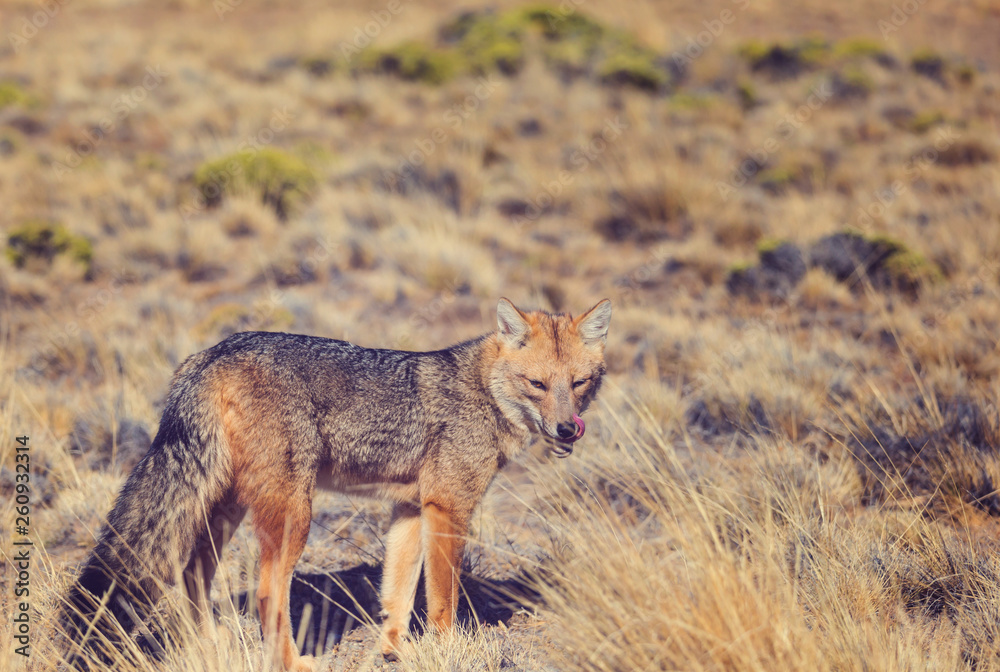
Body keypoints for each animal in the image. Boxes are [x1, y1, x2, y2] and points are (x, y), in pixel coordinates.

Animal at [59, 297, 611, 670]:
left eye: (579, 383)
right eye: (537, 385)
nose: (568, 429)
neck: (483, 390)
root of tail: (214, 353)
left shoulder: (410, 510)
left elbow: (397, 594)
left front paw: (392, 651)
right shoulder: (448, 507)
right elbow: (443, 600)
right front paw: (447, 650)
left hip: (224, 508)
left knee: (194, 575)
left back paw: (210, 646)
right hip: (293, 513)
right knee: (267, 592)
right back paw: (289, 662)